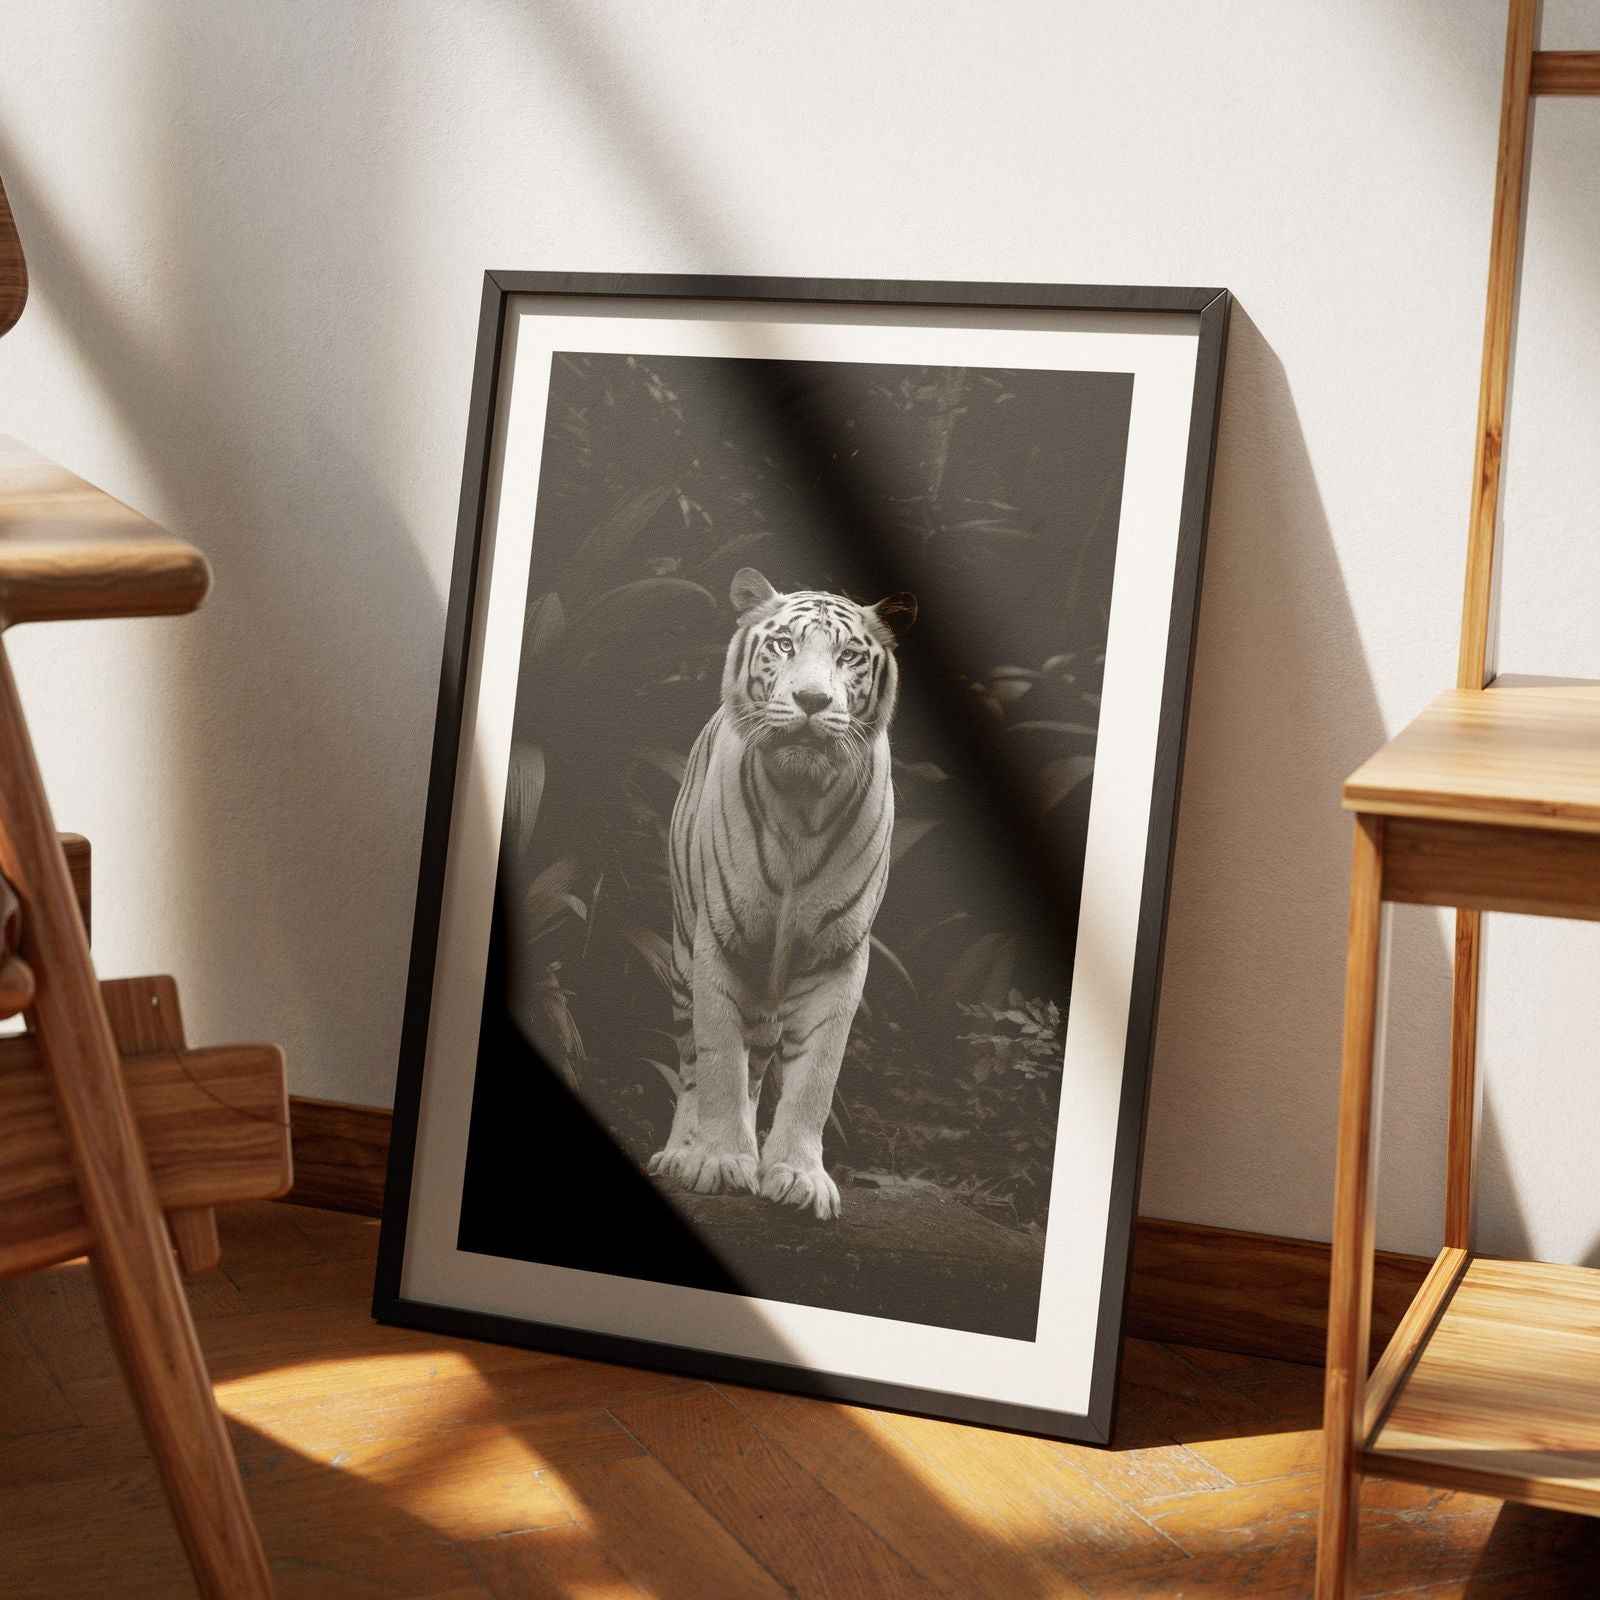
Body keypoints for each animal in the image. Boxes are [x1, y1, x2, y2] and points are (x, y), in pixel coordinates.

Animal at [648, 566, 917, 1220]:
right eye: (785, 645)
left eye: (848, 656)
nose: (812, 701)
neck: (802, 800)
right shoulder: (718, 943)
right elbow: (719, 1062)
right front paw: (719, 1161)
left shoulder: (839, 956)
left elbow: (815, 1075)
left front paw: (797, 1175)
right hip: (681, 953)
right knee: (693, 1064)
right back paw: (683, 1152)